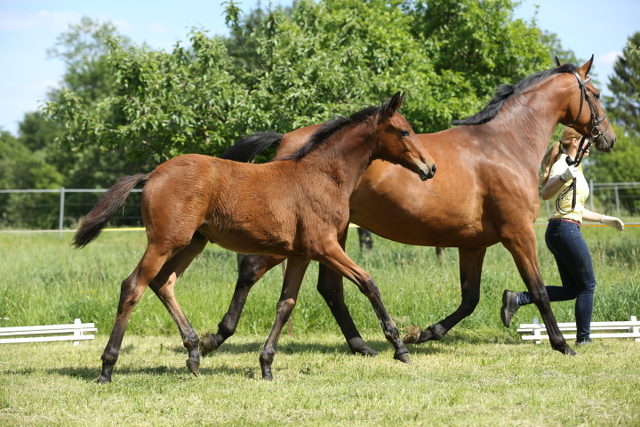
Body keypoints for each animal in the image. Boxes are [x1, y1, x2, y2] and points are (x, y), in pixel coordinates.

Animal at [74, 93, 436, 382]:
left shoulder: (301, 254)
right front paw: (399, 346)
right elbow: (368, 282)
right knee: (133, 286)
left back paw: (194, 352)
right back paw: (107, 368)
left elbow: (286, 305)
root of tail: (152, 174)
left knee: (163, 283)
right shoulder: (325, 246)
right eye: (404, 130)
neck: (322, 176)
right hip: (165, 242)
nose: (430, 168)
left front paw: (266, 365)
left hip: (192, 242)